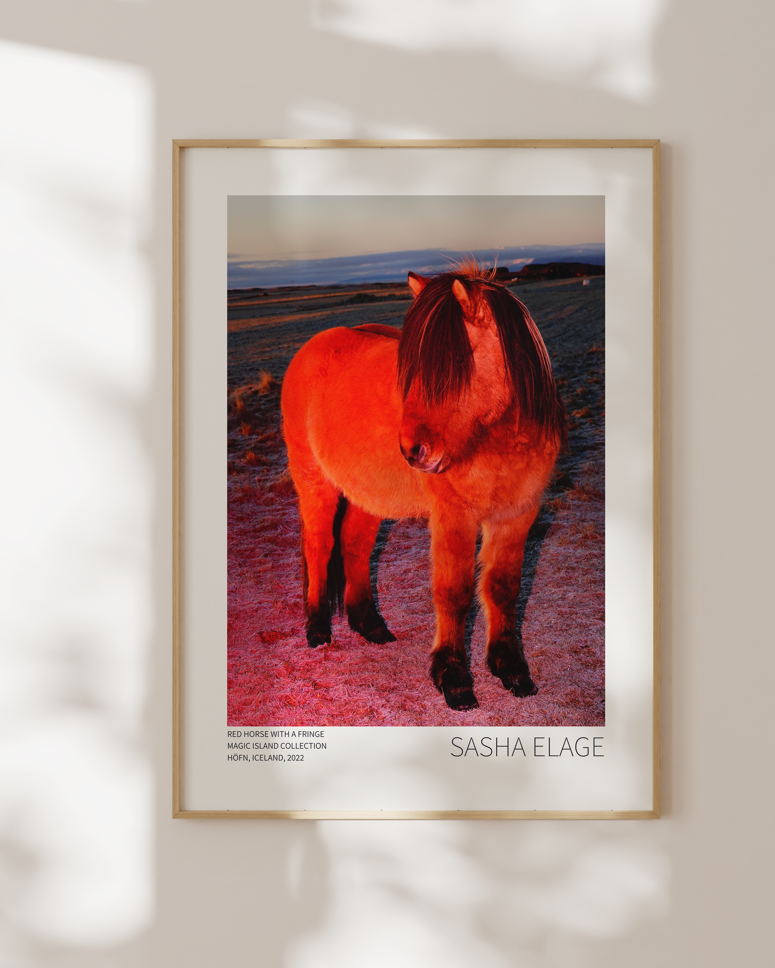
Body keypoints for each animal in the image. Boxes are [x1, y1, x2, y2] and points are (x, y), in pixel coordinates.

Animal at [280, 265, 567, 710]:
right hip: (314, 481)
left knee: (354, 544)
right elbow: (454, 593)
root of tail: (313, 347)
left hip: (367, 494)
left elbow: (503, 588)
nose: (413, 452)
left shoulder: (518, 513)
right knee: (319, 546)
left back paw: (370, 625)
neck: (494, 439)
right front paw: (454, 678)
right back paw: (317, 629)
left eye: (455, 361)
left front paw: (512, 670)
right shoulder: (454, 517)